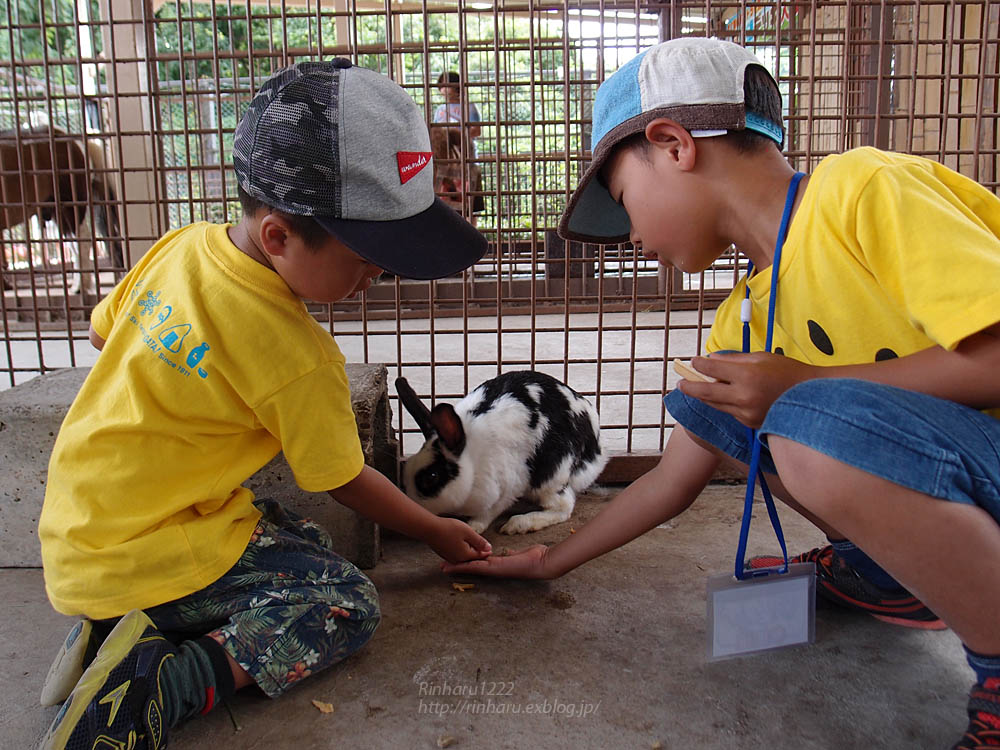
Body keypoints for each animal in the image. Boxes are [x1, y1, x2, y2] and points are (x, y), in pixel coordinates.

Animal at [394, 370, 604, 536]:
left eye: (432, 476)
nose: (412, 508)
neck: (473, 463)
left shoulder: (508, 487)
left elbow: (489, 512)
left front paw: (473, 527)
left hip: (551, 477)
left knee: (563, 507)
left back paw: (519, 524)